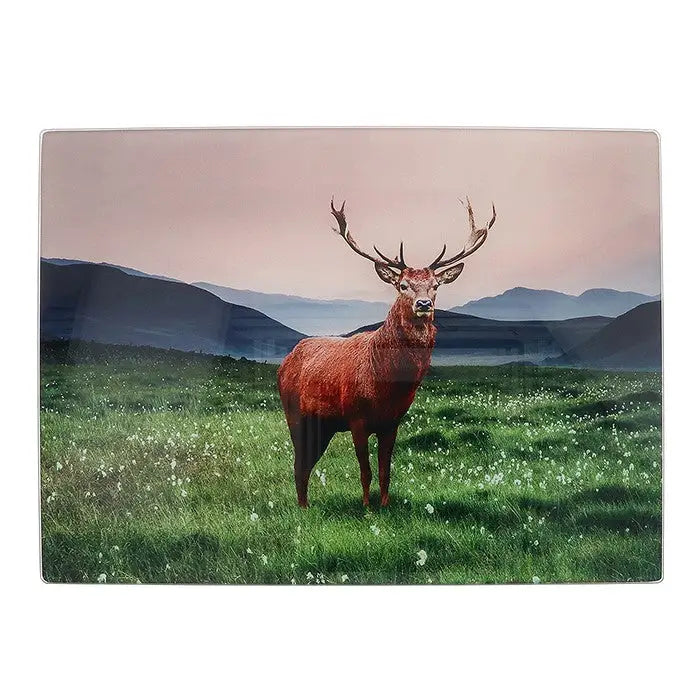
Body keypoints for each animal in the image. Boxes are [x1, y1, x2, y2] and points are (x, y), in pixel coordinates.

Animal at [277, 196, 496, 508]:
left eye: (435, 285)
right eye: (402, 285)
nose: (424, 303)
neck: (384, 385)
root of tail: (286, 360)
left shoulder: (392, 422)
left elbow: (385, 470)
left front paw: (384, 505)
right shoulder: (356, 418)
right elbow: (365, 470)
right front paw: (367, 508)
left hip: (324, 425)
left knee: (307, 462)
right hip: (294, 413)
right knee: (299, 462)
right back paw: (303, 507)